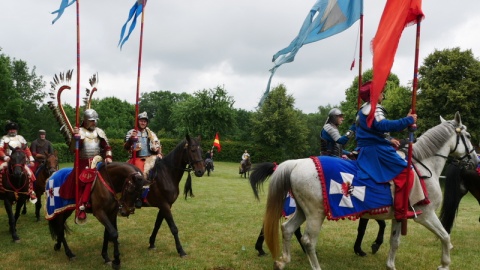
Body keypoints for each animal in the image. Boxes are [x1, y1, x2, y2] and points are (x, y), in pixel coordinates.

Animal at [251, 110, 476, 268]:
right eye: (468, 135)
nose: (475, 160)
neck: (422, 166)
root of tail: (295, 164)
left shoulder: (398, 216)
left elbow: (394, 242)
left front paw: (389, 264)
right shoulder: (425, 215)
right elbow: (445, 236)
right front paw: (444, 264)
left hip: (301, 209)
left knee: (287, 228)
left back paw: (282, 260)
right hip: (315, 213)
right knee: (307, 239)